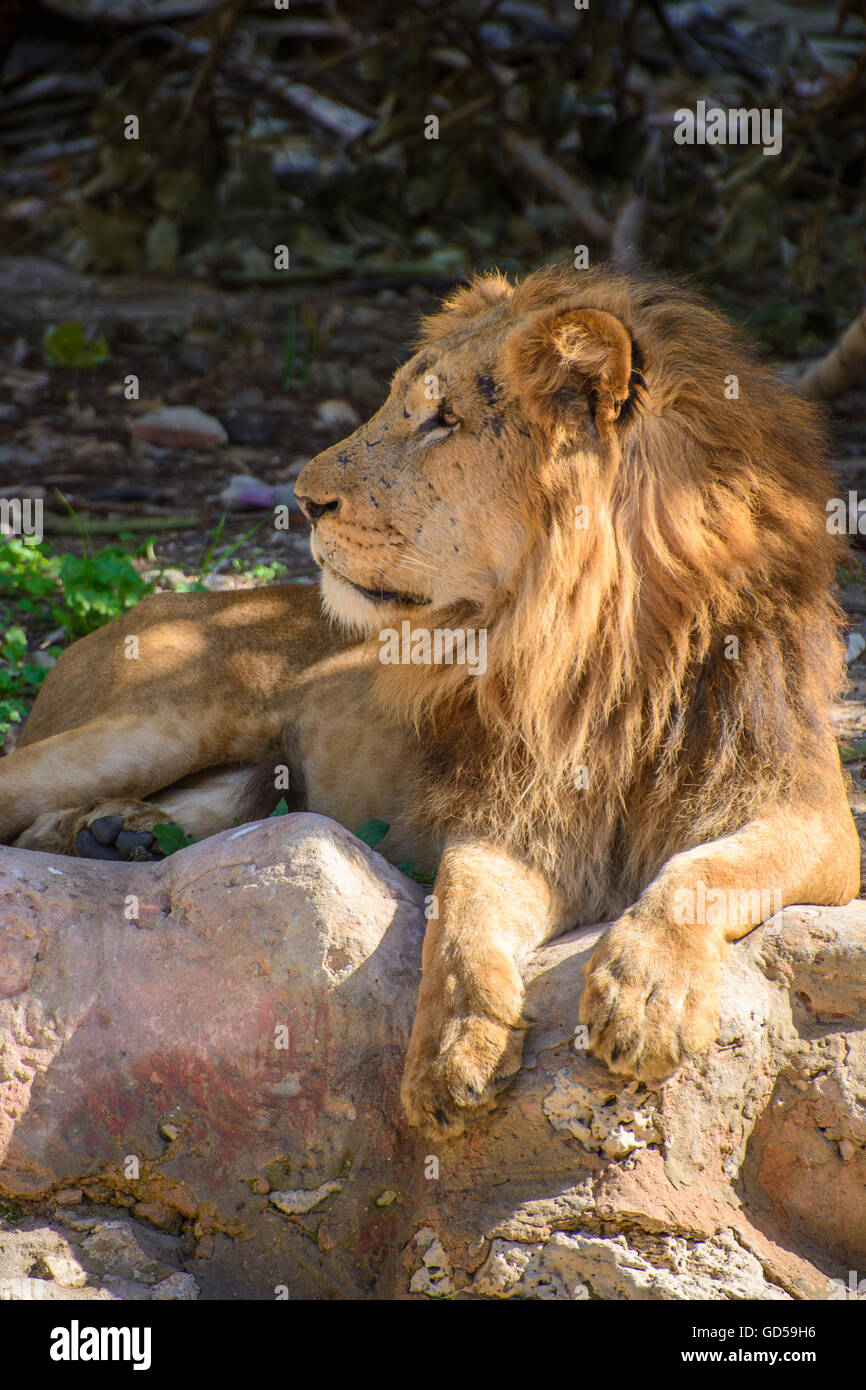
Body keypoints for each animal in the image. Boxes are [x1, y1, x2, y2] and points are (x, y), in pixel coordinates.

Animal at [0, 263, 859, 1137]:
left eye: (444, 421)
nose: (303, 499)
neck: (599, 648)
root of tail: (154, 607)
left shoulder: (813, 817)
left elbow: (701, 872)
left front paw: (646, 997)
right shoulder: (511, 815)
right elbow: (460, 912)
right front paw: (456, 1052)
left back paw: (118, 835)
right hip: (162, 720)